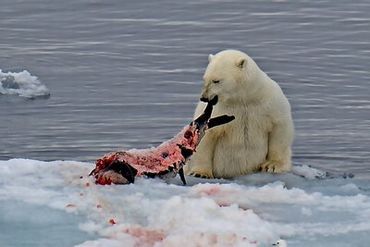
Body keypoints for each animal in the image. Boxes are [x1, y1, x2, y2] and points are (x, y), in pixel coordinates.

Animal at [185, 49, 294, 178]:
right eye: (205, 79)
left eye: (216, 80)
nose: (204, 98)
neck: (242, 99)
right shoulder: (217, 110)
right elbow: (206, 135)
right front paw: (200, 173)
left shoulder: (270, 102)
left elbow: (279, 127)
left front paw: (271, 165)